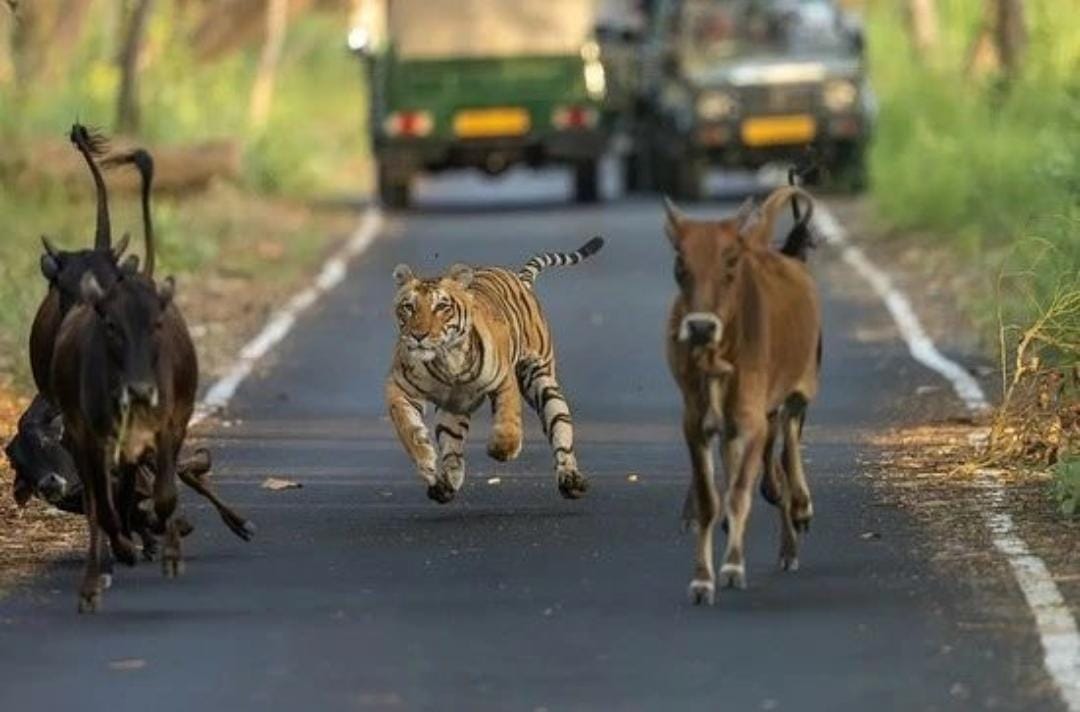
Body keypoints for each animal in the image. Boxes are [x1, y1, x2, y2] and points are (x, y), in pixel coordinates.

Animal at [386, 236, 604, 504]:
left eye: (441, 307)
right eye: (408, 307)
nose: (418, 335)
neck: (448, 361)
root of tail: (519, 278)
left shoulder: (504, 380)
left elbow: (509, 419)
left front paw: (502, 450)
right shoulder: (399, 389)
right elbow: (408, 429)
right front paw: (426, 459)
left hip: (541, 379)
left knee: (560, 428)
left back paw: (571, 479)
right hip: (453, 408)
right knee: (452, 449)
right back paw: (445, 485)